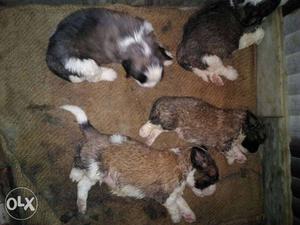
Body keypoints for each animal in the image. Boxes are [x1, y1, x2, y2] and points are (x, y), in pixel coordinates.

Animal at [59, 105, 218, 223]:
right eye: (212, 177)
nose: (212, 192)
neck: (184, 161)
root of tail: (97, 135)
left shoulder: (173, 192)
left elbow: (181, 201)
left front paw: (189, 215)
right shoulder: (166, 195)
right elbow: (174, 205)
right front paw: (177, 217)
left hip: (96, 172)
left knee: (83, 182)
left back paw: (81, 204)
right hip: (95, 166)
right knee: (79, 162)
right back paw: (75, 175)